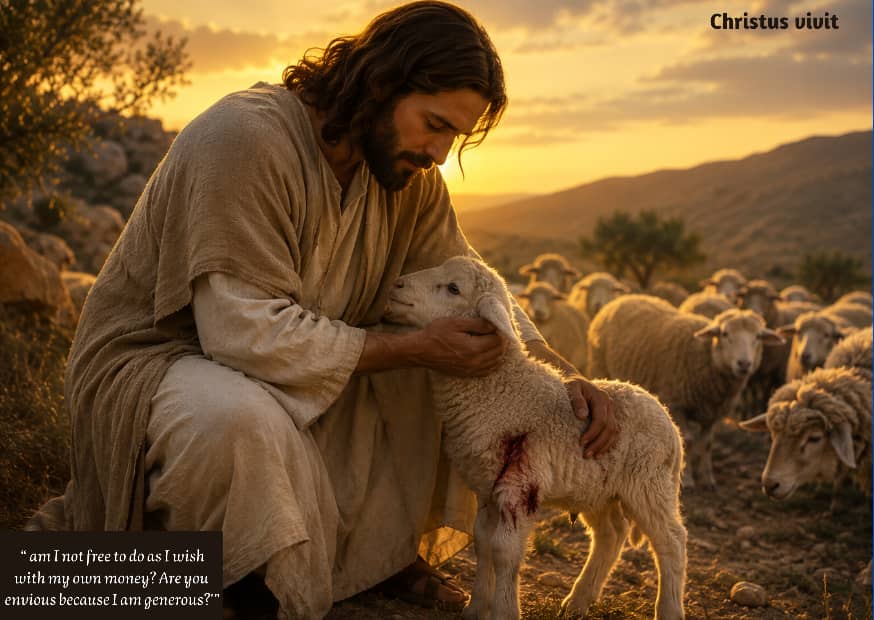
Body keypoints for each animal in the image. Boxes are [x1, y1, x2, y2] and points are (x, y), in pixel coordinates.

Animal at [385, 256, 687, 620]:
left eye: (453, 288)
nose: (396, 285)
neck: (500, 389)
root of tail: (667, 418)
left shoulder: (519, 484)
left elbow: (503, 551)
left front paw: (504, 610)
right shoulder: (488, 485)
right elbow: (482, 543)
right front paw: (476, 607)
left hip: (648, 483)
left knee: (672, 541)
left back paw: (668, 608)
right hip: (597, 487)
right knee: (611, 534)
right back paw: (578, 600)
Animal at [587, 295, 783, 490]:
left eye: (758, 336)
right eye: (725, 334)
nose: (744, 364)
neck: (707, 356)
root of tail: (623, 298)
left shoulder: (714, 413)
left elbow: (707, 444)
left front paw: (707, 479)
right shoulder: (676, 404)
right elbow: (686, 440)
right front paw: (688, 480)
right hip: (601, 367)